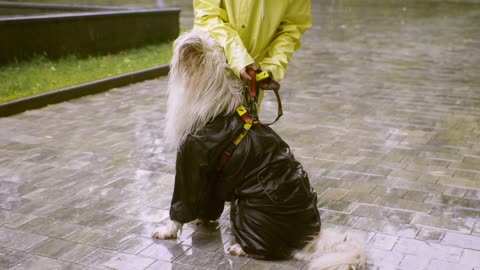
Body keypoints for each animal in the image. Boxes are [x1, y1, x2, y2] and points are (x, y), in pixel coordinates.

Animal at [152, 30, 366, 268]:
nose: (179, 40)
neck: (217, 108)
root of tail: (311, 238)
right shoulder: (211, 178)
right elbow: (207, 202)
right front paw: (201, 219)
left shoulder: (190, 166)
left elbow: (180, 206)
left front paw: (168, 230)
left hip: (248, 210)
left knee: (275, 251)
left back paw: (241, 248)